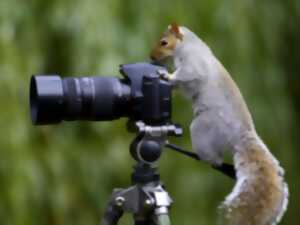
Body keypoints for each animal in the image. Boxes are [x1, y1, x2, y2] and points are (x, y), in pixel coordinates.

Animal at [150, 23, 288, 225]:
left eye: (164, 42)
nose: (151, 57)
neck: (189, 46)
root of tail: (239, 135)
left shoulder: (193, 66)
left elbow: (185, 76)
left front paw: (166, 76)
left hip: (203, 128)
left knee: (214, 161)